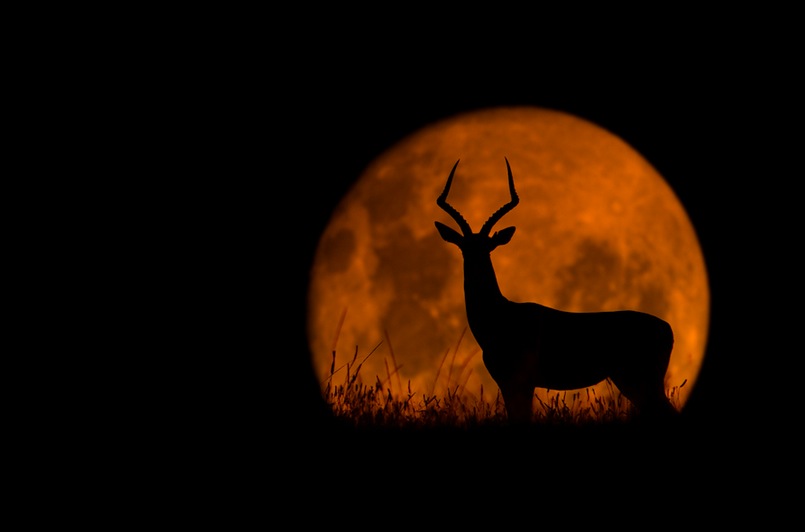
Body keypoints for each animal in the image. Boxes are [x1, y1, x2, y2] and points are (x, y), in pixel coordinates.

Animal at [435, 158, 678, 423]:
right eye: (464, 248)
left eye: (487, 248)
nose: (476, 273)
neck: (500, 318)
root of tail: (667, 328)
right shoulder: (508, 383)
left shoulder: (522, 382)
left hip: (640, 381)